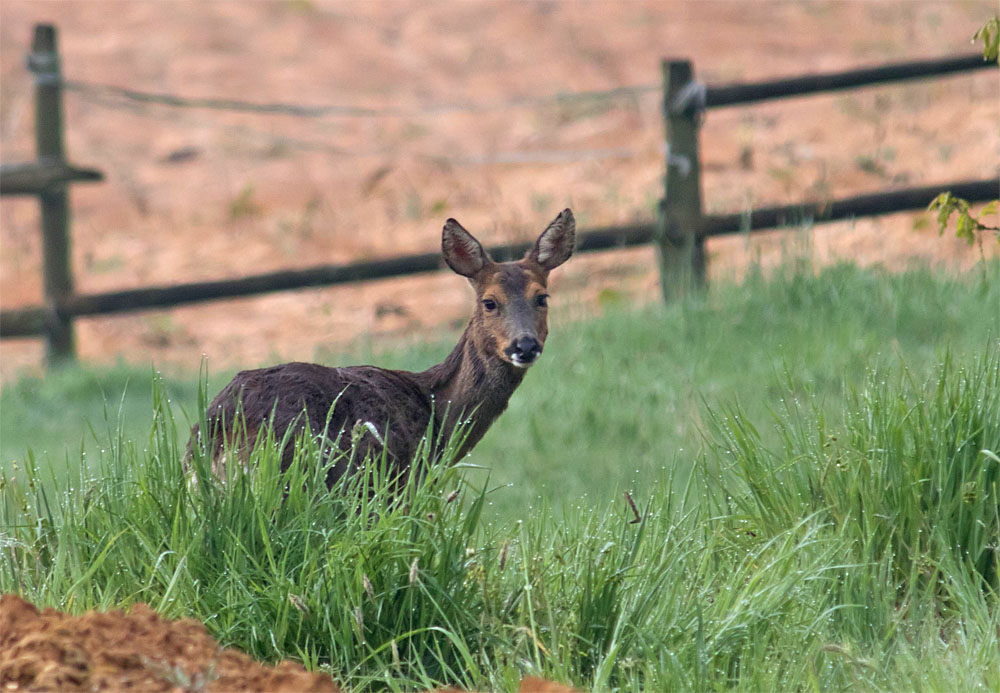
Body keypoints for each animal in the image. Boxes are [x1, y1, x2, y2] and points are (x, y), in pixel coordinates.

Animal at [186, 209, 575, 489]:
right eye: (489, 302)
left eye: (542, 297)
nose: (525, 345)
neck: (436, 411)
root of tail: (224, 423)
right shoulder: (406, 483)